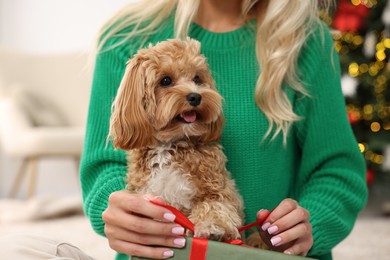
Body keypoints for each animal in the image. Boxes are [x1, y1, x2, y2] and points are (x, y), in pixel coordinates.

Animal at [108, 38, 244, 242]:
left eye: (197, 79)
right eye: (165, 80)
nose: (195, 96)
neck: (170, 146)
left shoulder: (222, 188)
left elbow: (215, 204)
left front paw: (213, 226)